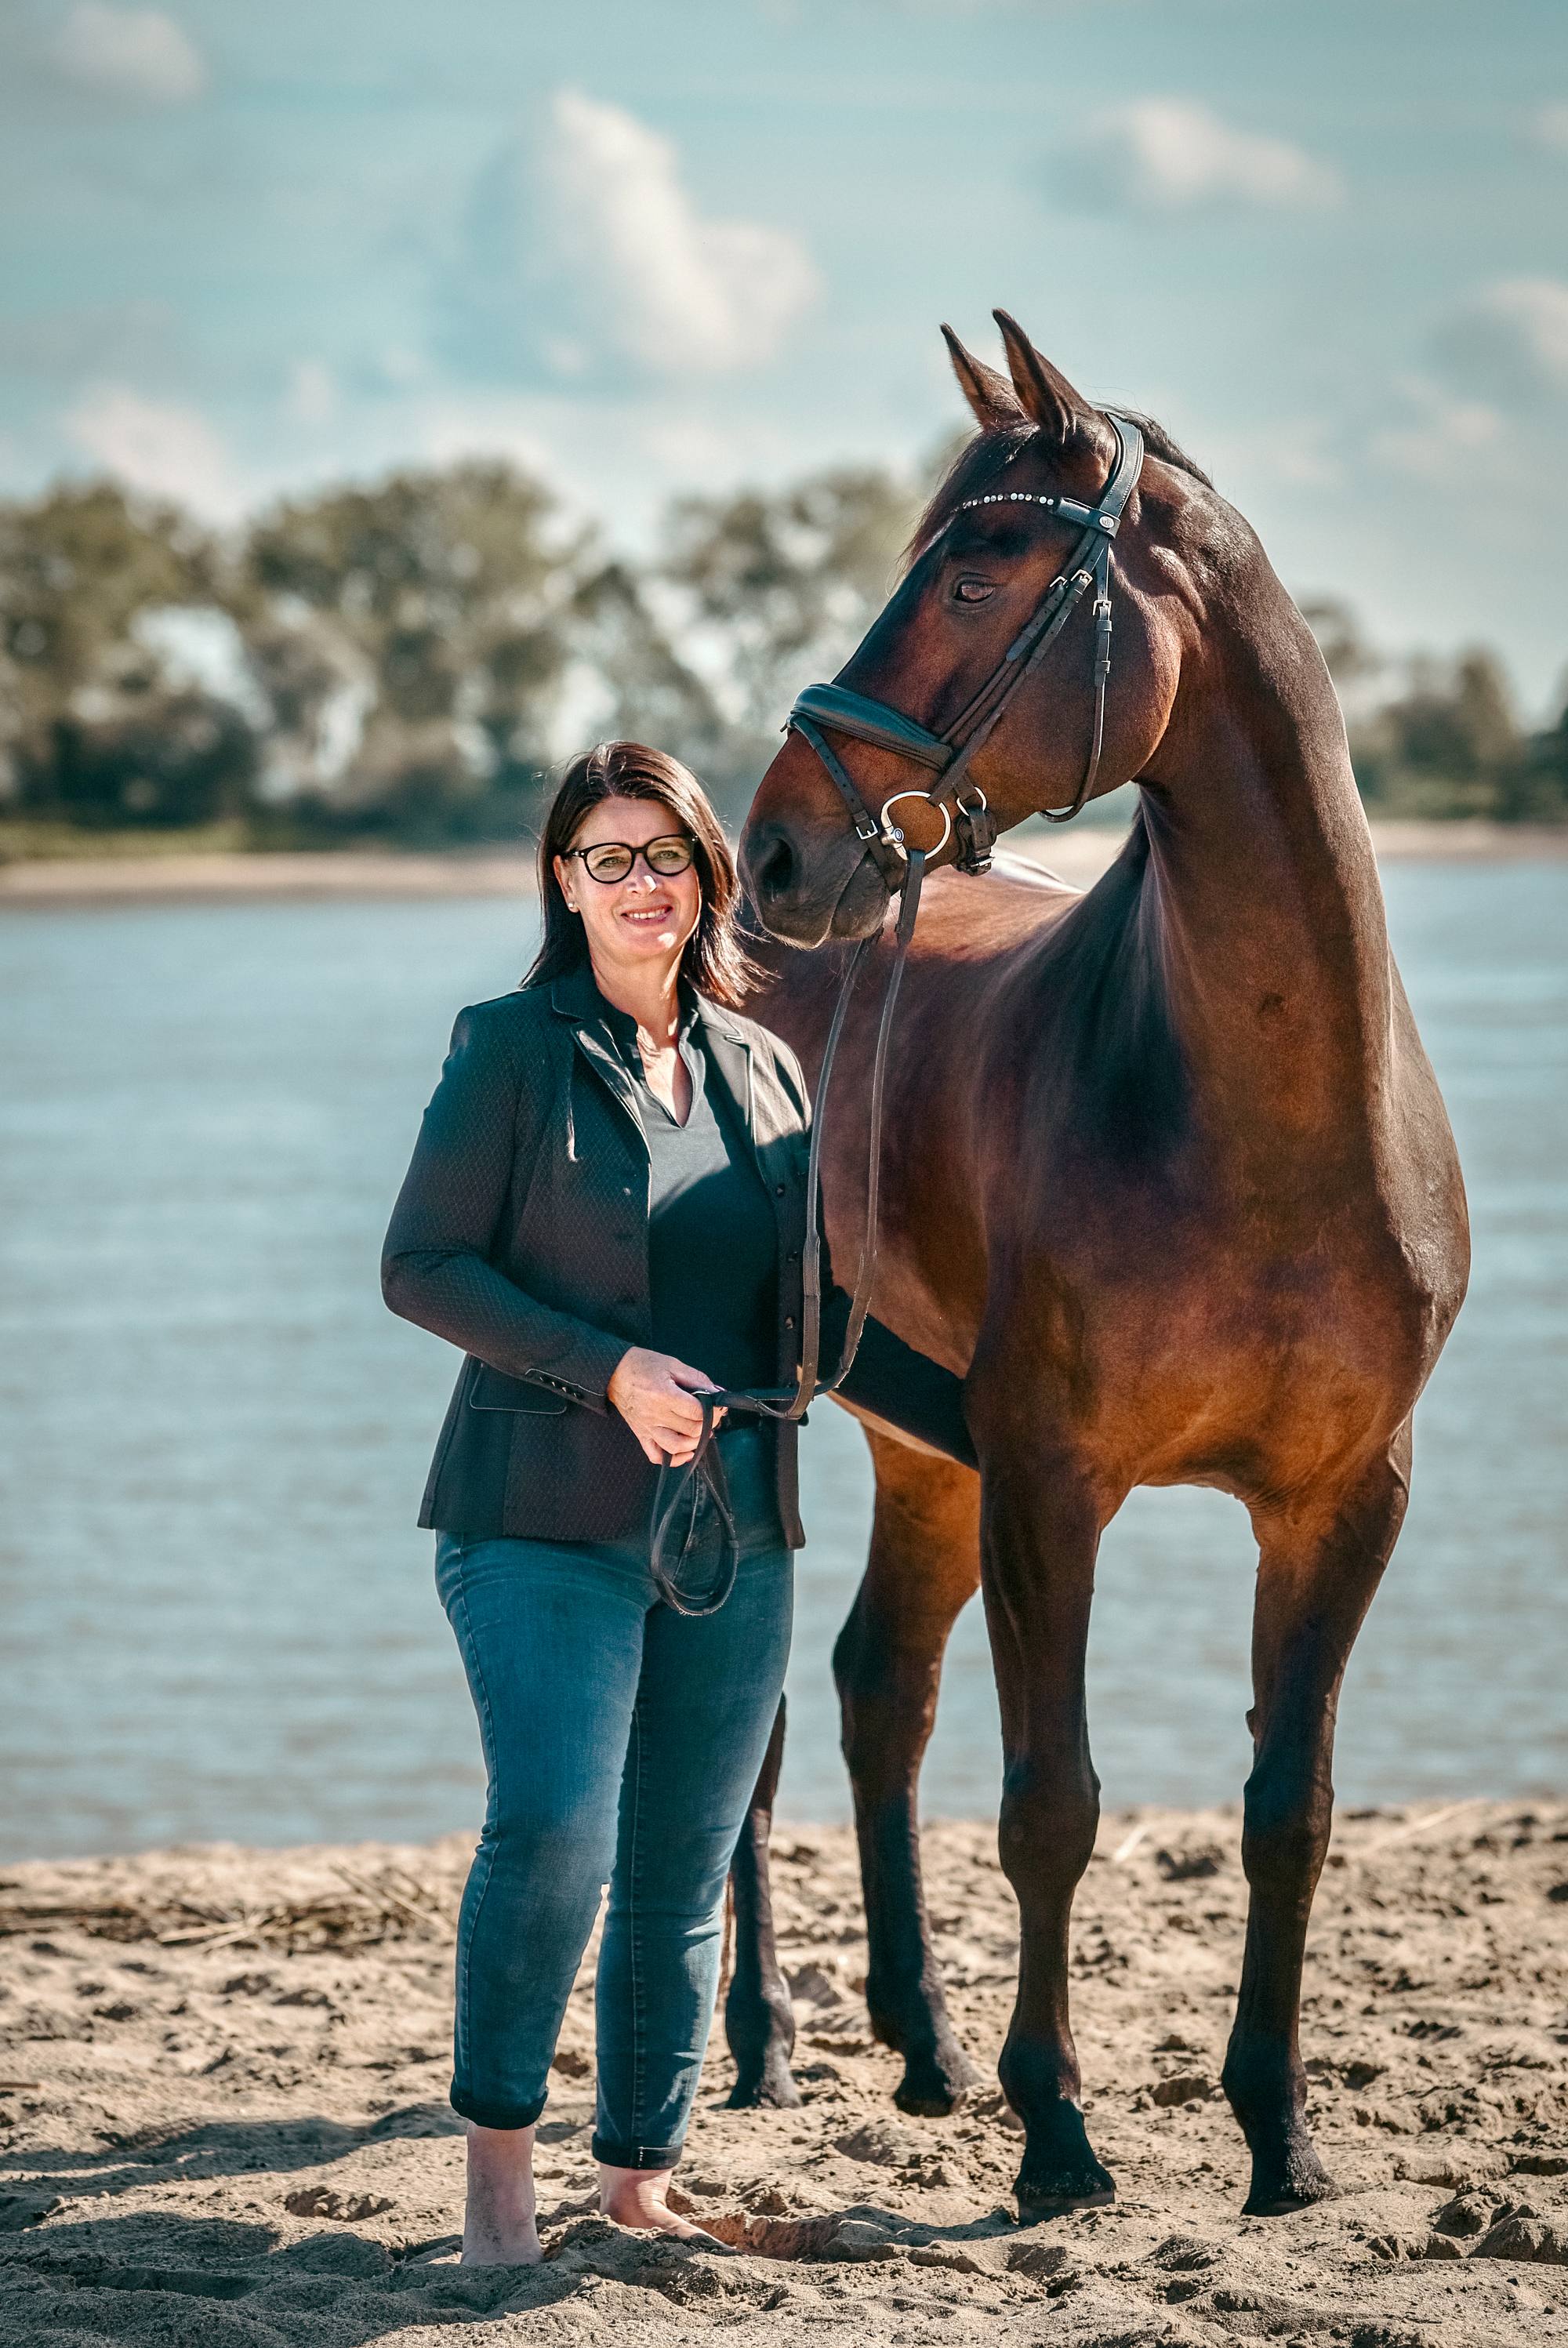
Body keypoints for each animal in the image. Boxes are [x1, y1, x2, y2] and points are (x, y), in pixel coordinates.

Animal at [720, 312, 1470, 2224]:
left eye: (981, 564)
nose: (780, 851)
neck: (1267, 1118)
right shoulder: (1053, 1483)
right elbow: (1051, 1801)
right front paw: (1056, 2128)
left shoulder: (1344, 1500)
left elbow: (1290, 1808)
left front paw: (1278, 2133)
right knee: (743, 1725)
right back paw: (758, 2040)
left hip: (923, 1456)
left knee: (874, 1694)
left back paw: (913, 2044)